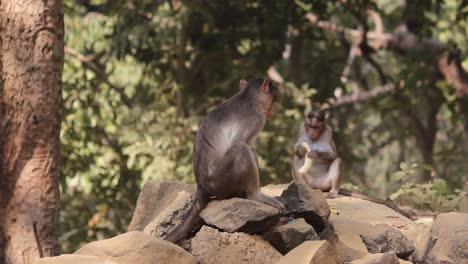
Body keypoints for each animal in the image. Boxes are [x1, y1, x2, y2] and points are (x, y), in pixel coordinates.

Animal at [166, 77, 288, 242]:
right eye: (273, 97)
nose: (274, 109)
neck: (248, 97)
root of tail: (202, 187)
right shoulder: (256, 119)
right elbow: (238, 142)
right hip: (221, 180)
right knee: (242, 148)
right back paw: (254, 194)